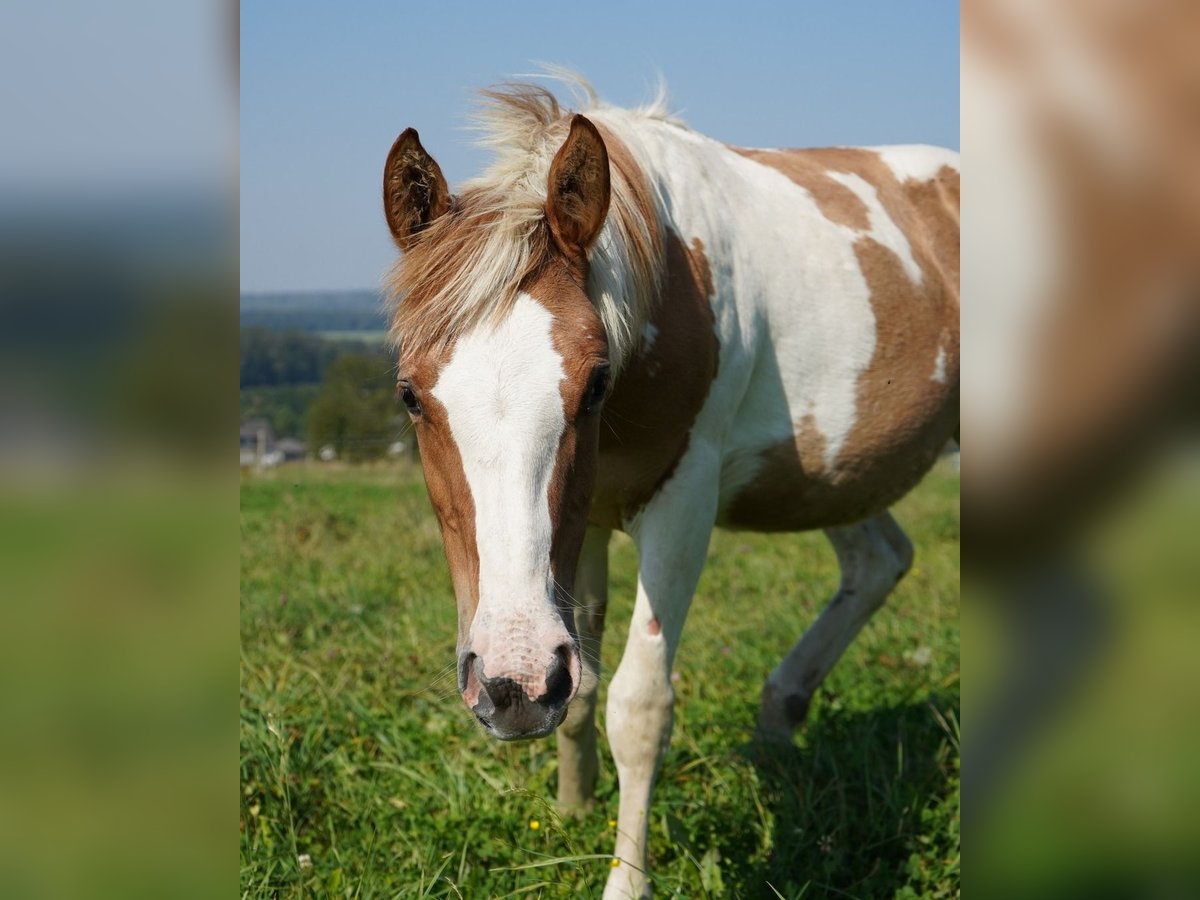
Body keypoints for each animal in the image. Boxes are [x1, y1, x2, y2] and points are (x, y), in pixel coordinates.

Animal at [379, 79, 960, 900]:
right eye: (409, 393)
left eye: (593, 384)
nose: (512, 687)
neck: (668, 287)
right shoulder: (584, 517)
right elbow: (583, 686)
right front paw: (571, 807)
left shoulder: (683, 505)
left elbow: (638, 705)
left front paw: (626, 879)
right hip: (831, 476)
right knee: (879, 560)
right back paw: (779, 717)